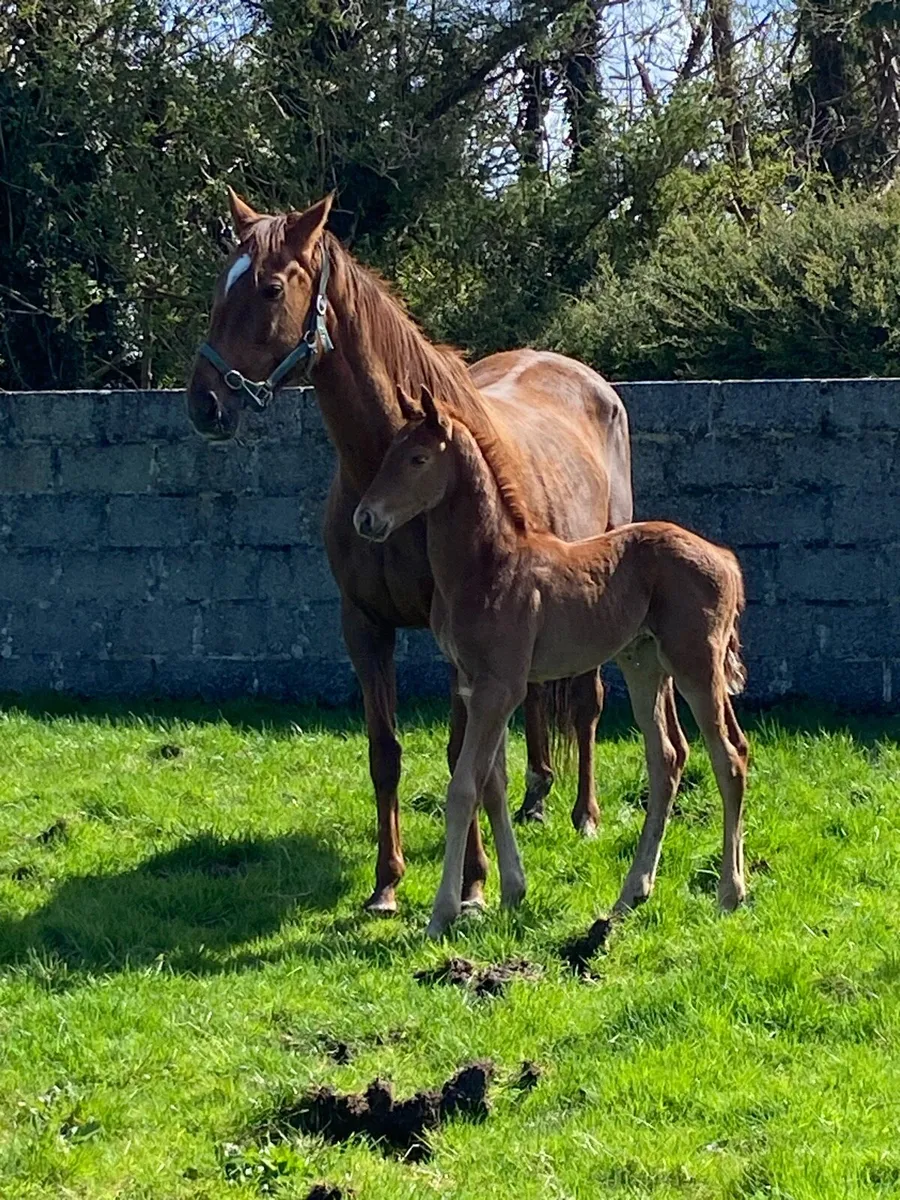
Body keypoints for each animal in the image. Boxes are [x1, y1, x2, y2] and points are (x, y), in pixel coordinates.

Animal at [185, 190, 671, 913]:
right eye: (221, 284)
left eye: (270, 287)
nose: (205, 404)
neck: (386, 468)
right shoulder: (364, 626)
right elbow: (385, 751)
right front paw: (387, 883)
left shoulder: (459, 640)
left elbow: (458, 754)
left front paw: (471, 883)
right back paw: (535, 799)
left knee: (584, 703)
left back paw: (583, 814)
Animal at [355, 386, 748, 937]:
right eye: (389, 452)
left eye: (417, 459)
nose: (366, 519)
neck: (488, 566)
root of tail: (726, 559)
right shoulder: (477, 685)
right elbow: (492, 784)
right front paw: (511, 891)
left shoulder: (501, 688)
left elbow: (463, 790)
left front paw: (442, 913)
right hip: (643, 664)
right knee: (667, 758)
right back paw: (631, 894)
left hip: (696, 664)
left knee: (729, 756)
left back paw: (730, 893)